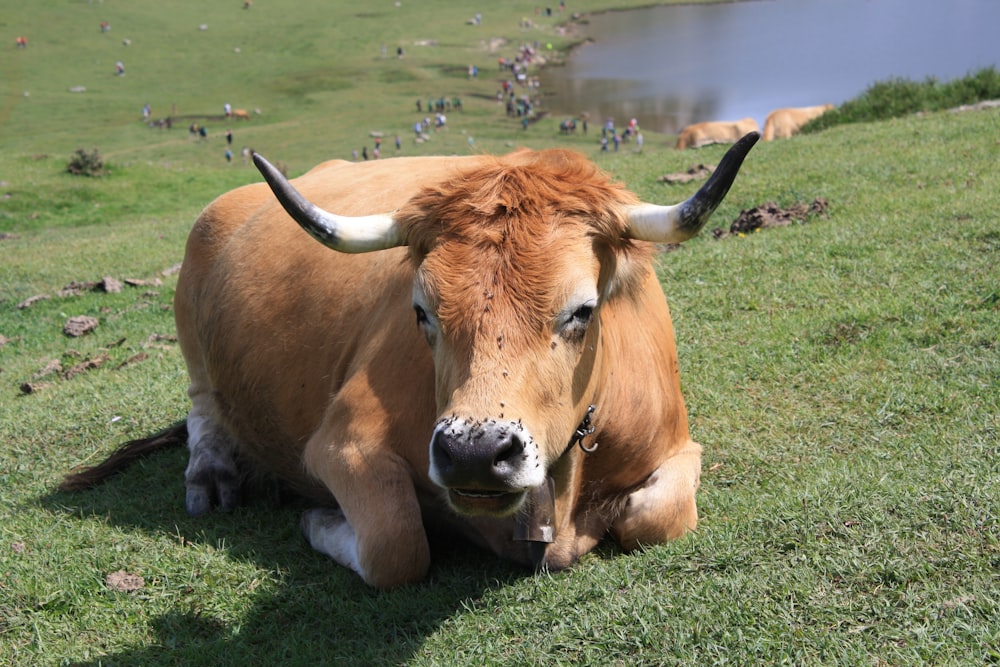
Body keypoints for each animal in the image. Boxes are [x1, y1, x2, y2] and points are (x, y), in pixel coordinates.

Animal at [64, 133, 756, 588]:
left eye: (582, 310)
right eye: (420, 312)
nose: (475, 453)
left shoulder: (679, 445)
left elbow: (657, 518)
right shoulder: (339, 443)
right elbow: (397, 545)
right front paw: (318, 518)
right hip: (192, 325)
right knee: (204, 408)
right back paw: (212, 478)